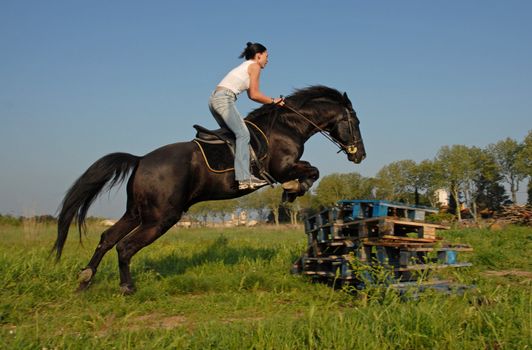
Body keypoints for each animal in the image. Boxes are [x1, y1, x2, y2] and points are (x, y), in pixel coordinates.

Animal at [54, 85, 366, 292]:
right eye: (356, 122)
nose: (359, 155)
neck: (288, 126)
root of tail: (140, 160)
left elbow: (312, 171)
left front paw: (292, 192)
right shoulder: (283, 167)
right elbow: (312, 171)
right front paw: (291, 190)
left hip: (138, 212)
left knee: (107, 238)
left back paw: (85, 280)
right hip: (161, 217)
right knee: (125, 246)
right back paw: (126, 288)